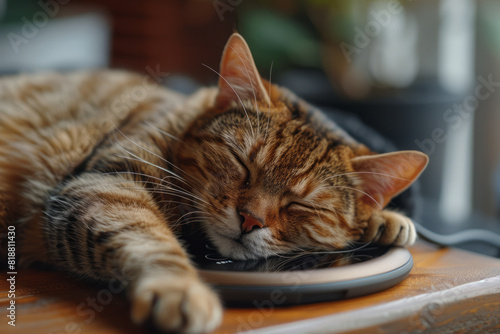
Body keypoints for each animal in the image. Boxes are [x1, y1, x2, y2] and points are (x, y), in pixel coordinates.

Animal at [0, 34, 426, 334]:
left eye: (301, 204)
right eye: (242, 164)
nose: (250, 220)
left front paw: (383, 218)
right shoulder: (103, 184)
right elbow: (147, 236)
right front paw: (179, 289)